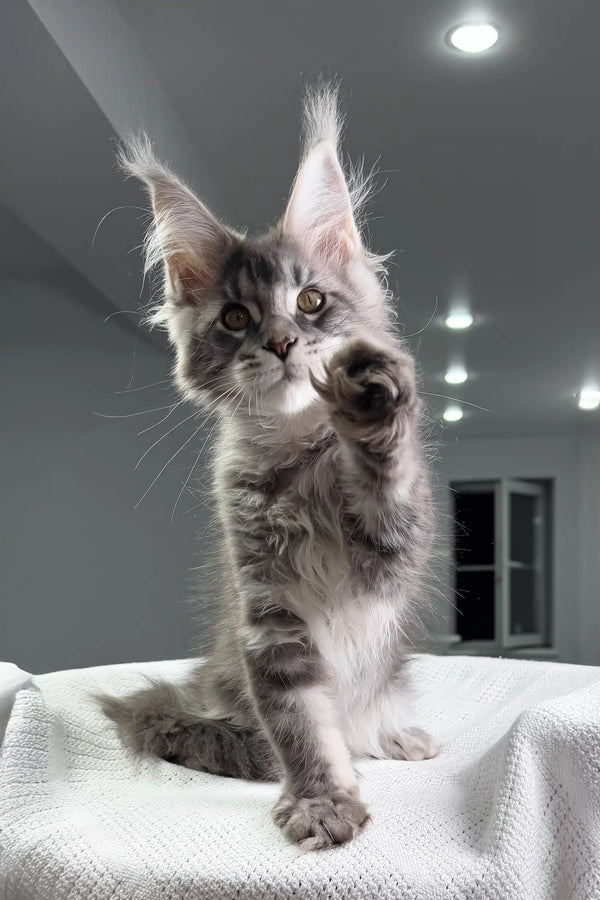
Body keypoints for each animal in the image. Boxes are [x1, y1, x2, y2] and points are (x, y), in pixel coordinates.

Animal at [103, 86, 438, 852]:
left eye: (310, 302)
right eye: (234, 318)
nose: (283, 341)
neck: (298, 462)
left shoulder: (389, 562)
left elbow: (388, 481)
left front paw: (370, 405)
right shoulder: (268, 610)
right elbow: (299, 721)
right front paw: (321, 801)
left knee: (373, 719)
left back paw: (397, 736)